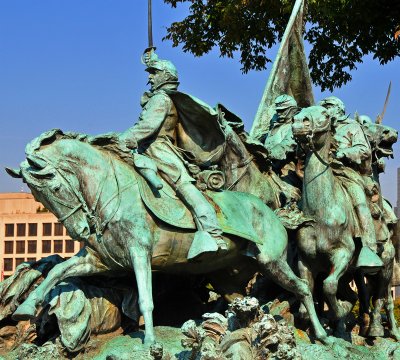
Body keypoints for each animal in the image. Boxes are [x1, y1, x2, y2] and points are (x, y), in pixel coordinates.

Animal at [7, 129, 332, 346]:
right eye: (39, 199)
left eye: (55, 188)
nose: (80, 231)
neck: (115, 192)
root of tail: (271, 212)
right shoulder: (101, 260)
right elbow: (59, 271)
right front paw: (25, 308)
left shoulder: (140, 254)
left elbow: (145, 299)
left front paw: (151, 341)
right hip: (230, 277)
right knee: (243, 302)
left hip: (271, 261)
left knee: (302, 287)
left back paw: (323, 335)